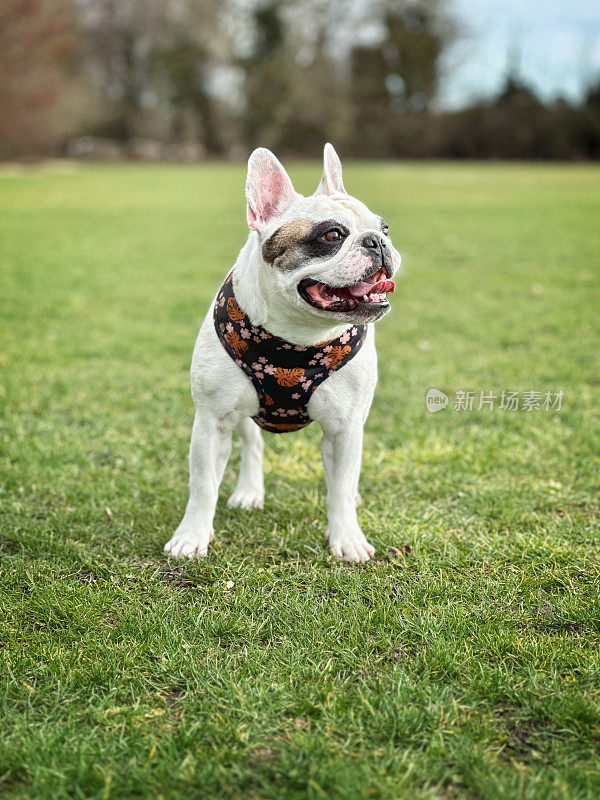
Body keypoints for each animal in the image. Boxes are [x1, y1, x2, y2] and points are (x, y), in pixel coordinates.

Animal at [164, 145, 400, 568]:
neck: (298, 337)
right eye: (332, 235)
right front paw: (191, 536)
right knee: (252, 445)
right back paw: (249, 491)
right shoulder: (212, 422)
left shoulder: (344, 428)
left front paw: (347, 537)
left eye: (384, 228)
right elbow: (202, 485)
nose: (376, 241)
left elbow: (340, 488)